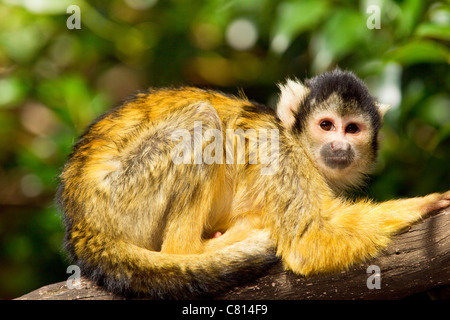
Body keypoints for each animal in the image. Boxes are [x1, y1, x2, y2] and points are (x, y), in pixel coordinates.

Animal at [58, 69, 450, 298]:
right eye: (326, 125)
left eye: (352, 129)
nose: (340, 146)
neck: (297, 144)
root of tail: (81, 224)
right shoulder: (284, 158)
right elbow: (307, 243)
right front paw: (424, 202)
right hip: (121, 195)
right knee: (202, 118)